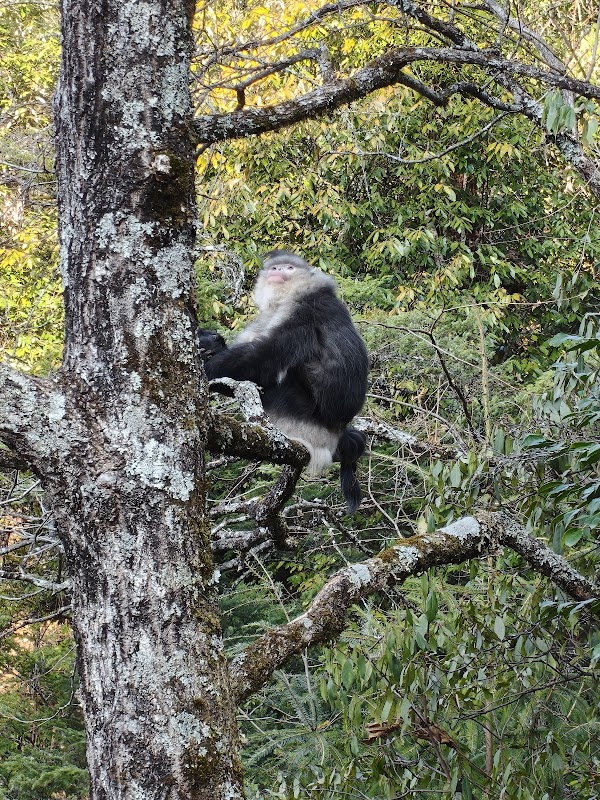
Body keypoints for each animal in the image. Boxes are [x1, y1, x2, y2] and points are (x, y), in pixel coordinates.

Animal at [198, 250, 369, 512]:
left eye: (289, 267)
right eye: (275, 267)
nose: (277, 271)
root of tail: (336, 431)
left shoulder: (304, 312)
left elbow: (264, 356)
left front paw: (205, 367)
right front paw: (209, 342)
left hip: (298, 412)